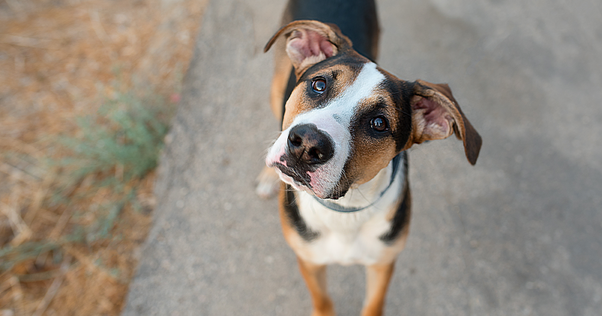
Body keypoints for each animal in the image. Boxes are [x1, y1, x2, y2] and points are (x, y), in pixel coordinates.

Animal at [255, 1, 480, 314]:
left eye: (379, 123)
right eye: (319, 84)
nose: (307, 145)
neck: (345, 209)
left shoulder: (383, 264)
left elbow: (373, 305)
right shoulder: (309, 259)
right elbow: (323, 300)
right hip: (277, 86)